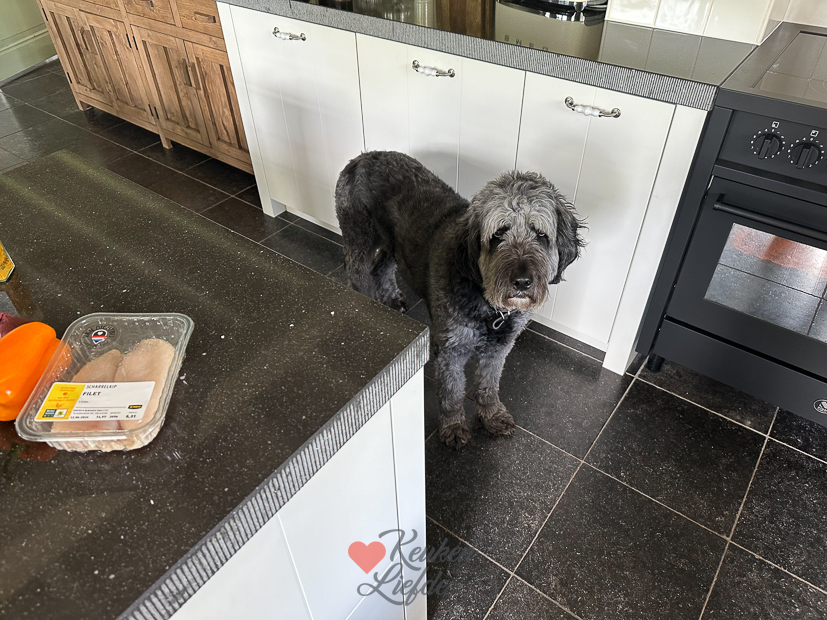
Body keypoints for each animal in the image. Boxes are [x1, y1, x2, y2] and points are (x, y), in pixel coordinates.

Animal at [335, 151, 585, 448]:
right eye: (498, 233)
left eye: (541, 234)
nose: (522, 282)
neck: (489, 306)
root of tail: (360, 157)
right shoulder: (451, 351)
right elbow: (452, 392)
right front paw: (453, 426)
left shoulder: (499, 348)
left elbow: (488, 384)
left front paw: (492, 415)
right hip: (359, 237)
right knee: (358, 273)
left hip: (395, 243)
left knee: (382, 265)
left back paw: (391, 299)